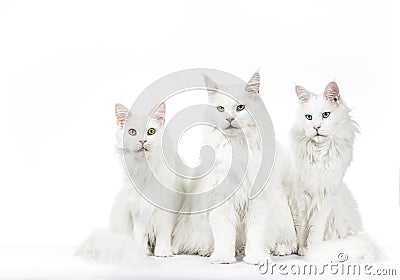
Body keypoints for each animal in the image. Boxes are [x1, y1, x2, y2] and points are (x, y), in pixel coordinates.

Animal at [78, 103, 178, 262]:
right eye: (132, 132)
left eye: (151, 131)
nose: (142, 141)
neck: (145, 169)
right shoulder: (136, 209)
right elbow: (140, 233)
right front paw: (140, 250)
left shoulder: (166, 208)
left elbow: (164, 232)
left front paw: (163, 251)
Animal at [172, 72, 296, 264]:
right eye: (220, 109)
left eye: (240, 107)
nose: (230, 118)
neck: (238, 148)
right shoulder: (220, 201)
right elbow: (224, 234)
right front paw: (223, 258)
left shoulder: (259, 203)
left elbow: (255, 234)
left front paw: (255, 258)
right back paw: (208, 251)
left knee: (287, 241)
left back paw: (279, 250)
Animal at [290, 82, 376, 262]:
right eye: (309, 117)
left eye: (325, 115)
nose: (316, 127)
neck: (319, 154)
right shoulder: (300, 198)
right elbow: (302, 227)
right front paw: (301, 249)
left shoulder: (325, 197)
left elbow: (315, 229)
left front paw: (312, 250)